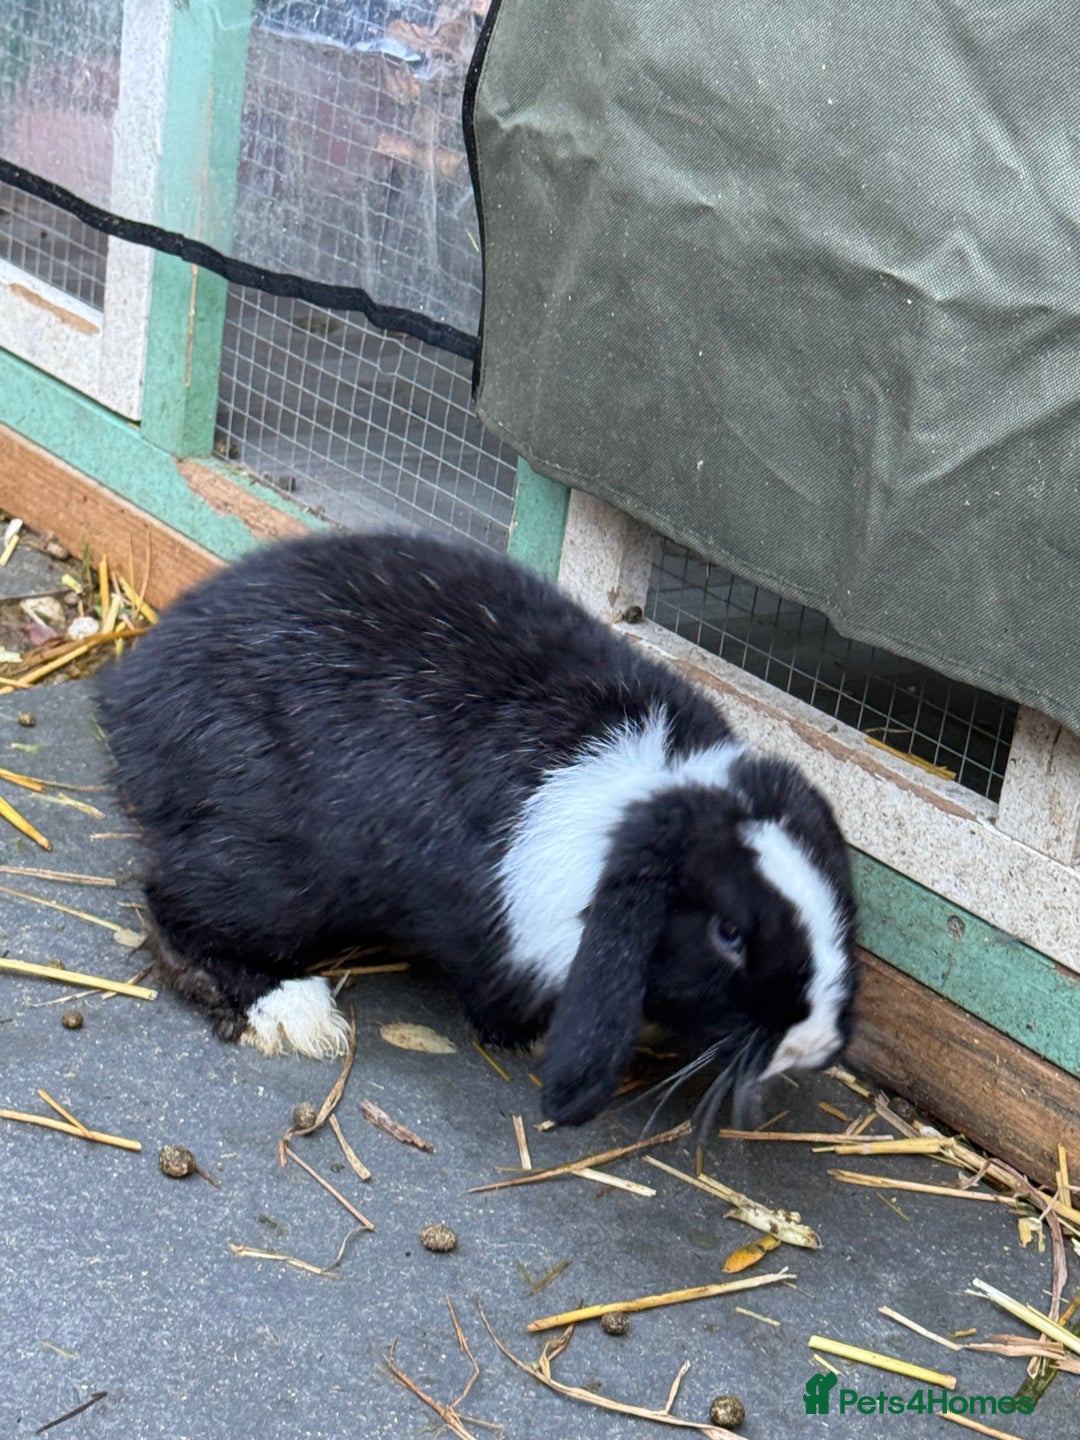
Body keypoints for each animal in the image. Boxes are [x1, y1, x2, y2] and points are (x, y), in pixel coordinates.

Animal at [96, 529, 857, 1127]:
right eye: (729, 932)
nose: (814, 1046)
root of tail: (133, 691)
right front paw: (525, 1038)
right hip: (271, 875)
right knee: (176, 907)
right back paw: (294, 1011)